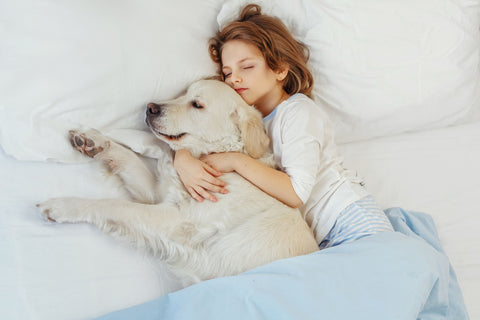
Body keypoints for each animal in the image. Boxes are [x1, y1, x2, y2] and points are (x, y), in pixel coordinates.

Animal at [37, 79, 318, 284]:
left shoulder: (176, 221)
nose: (150, 107)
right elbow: (128, 158)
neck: (211, 157)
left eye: (197, 104)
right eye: (183, 93)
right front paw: (93, 141)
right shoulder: (159, 196)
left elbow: (114, 206)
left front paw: (63, 206)